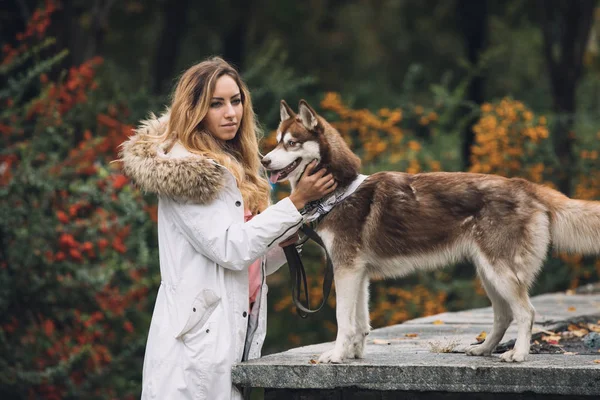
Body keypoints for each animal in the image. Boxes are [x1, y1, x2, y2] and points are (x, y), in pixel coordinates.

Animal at [262, 99, 600, 362]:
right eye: (277, 140)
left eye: (291, 143)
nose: (265, 161)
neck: (340, 190)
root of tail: (525, 185)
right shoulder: (358, 274)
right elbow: (359, 322)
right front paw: (353, 354)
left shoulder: (346, 270)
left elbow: (343, 321)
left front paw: (335, 355)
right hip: (488, 274)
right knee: (504, 316)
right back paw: (483, 350)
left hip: (501, 272)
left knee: (526, 313)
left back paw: (518, 354)